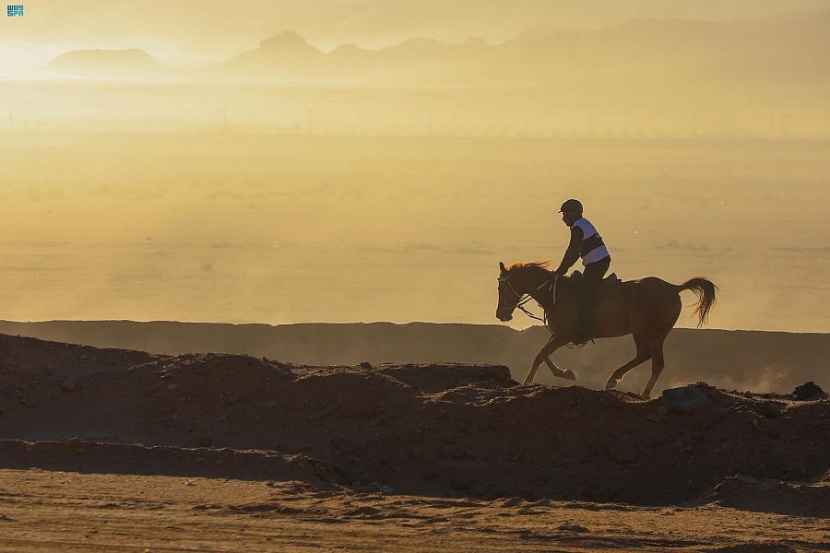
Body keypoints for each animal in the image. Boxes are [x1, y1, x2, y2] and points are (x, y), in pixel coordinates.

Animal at [498, 260, 720, 394]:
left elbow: (543, 353)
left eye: (503, 288)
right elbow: (539, 355)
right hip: (659, 332)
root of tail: (674, 288)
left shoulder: (564, 335)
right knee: (657, 362)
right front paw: (527, 382)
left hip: (641, 328)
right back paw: (644, 394)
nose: (500, 314)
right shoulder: (559, 335)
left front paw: (567, 374)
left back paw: (613, 379)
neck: (556, 293)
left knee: (644, 354)